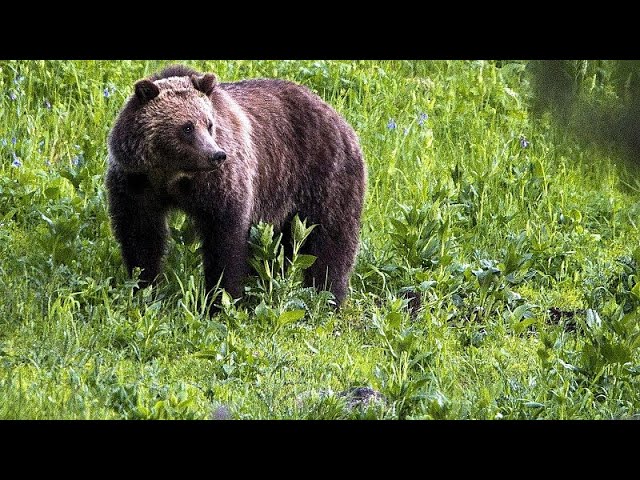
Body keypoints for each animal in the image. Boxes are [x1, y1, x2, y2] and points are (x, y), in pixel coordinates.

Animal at [106, 64, 366, 307]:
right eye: (187, 127)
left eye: (209, 124)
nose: (216, 155)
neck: (173, 175)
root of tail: (336, 114)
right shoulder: (136, 183)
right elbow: (141, 236)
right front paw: (143, 287)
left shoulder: (219, 185)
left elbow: (225, 240)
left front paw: (220, 299)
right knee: (283, 245)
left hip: (323, 175)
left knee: (331, 239)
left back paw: (328, 296)